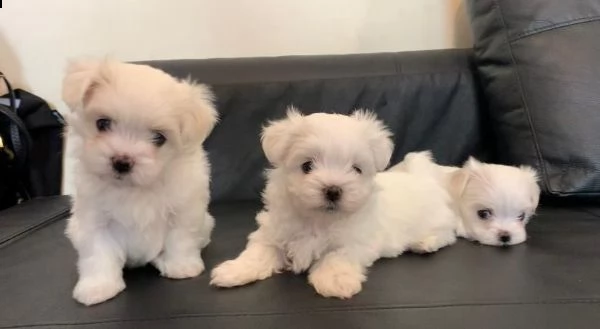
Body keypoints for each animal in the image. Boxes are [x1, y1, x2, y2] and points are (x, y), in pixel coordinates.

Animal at [61, 59, 219, 304]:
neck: (134, 188)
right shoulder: (93, 219)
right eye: (102, 123)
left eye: (159, 138)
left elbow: (180, 238)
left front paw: (181, 266)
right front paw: (98, 287)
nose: (122, 161)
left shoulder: (184, 209)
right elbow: (98, 253)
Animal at [211, 107, 454, 298]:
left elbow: (337, 256)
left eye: (356, 169)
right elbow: (258, 252)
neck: (318, 219)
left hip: (435, 218)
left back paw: (425, 242)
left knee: (447, 234)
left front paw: (336, 281)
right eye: (307, 166)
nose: (333, 190)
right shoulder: (272, 233)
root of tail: (423, 176)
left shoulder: (356, 241)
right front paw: (234, 271)